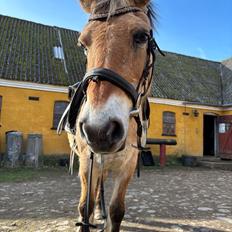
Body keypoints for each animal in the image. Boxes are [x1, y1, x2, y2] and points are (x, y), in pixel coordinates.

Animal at [58, 0, 160, 231]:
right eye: (83, 44)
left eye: (142, 36)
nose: (99, 130)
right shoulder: (87, 161)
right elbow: (84, 208)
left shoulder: (128, 165)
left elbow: (116, 210)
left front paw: (106, 214)